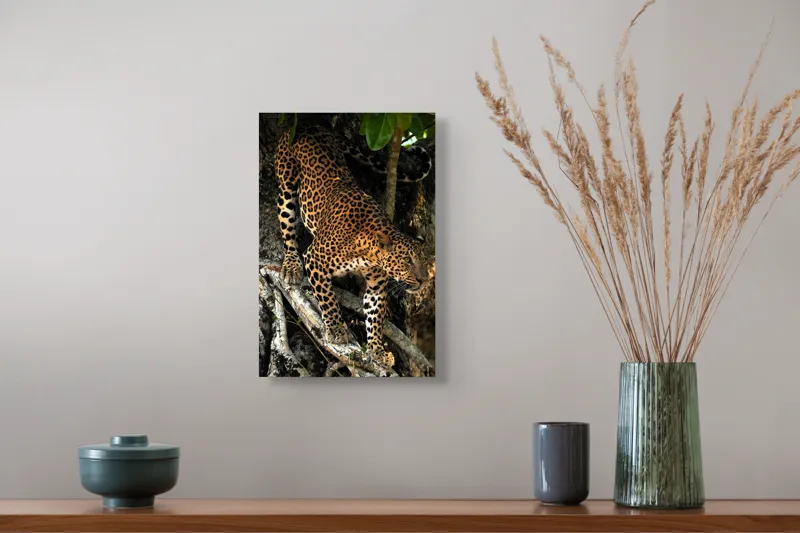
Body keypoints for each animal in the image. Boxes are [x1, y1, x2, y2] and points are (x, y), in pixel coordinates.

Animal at [273, 123, 433, 368]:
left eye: (425, 262)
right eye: (408, 261)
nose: (424, 280)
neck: (368, 252)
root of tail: (310, 125)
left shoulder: (376, 286)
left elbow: (375, 318)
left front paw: (377, 350)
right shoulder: (314, 259)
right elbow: (328, 298)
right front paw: (336, 330)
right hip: (286, 184)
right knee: (287, 227)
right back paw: (291, 266)